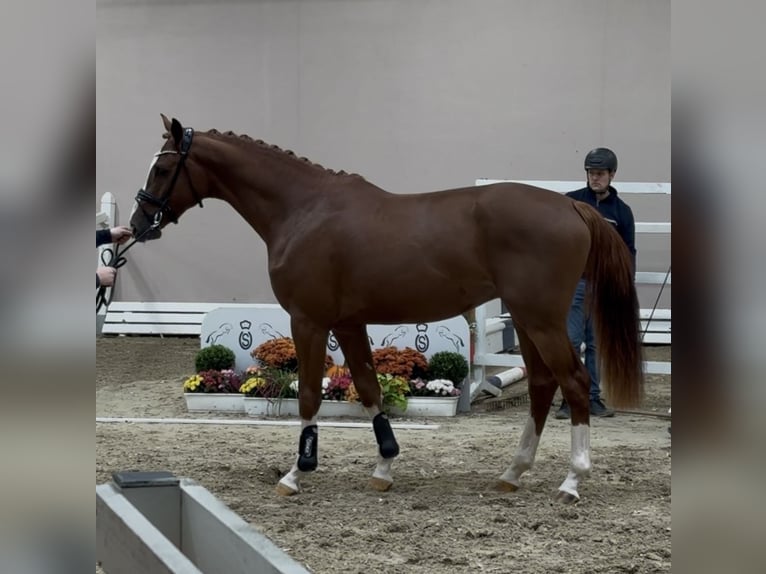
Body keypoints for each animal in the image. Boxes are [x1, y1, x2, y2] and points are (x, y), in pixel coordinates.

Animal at [130, 115, 643, 503]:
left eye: (162, 170)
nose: (138, 222)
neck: (303, 209)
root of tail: (571, 207)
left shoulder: (309, 321)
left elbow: (310, 395)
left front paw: (297, 472)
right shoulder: (348, 323)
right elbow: (369, 389)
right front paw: (384, 465)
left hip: (542, 319)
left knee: (573, 381)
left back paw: (573, 479)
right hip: (526, 318)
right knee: (541, 384)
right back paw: (513, 472)